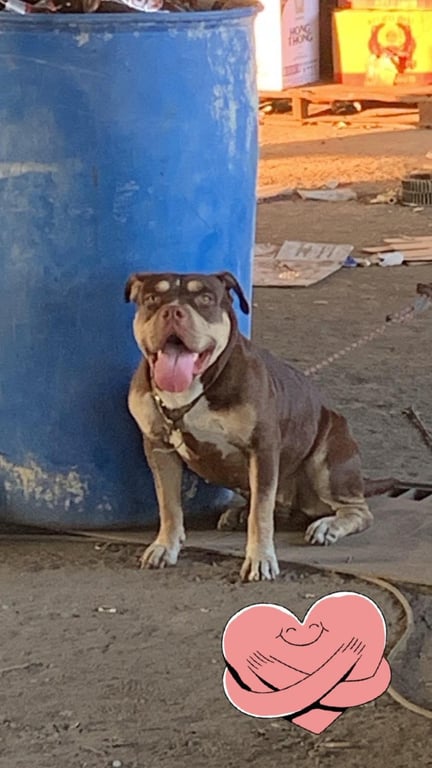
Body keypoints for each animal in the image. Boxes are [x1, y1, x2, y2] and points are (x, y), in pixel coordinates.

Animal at [125, 270, 374, 582]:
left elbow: (261, 514)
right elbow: (168, 504)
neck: (192, 390)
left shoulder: (263, 449)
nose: (172, 311)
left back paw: (328, 525)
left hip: (328, 458)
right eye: (151, 298)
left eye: (205, 298)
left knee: (357, 511)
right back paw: (239, 513)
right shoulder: (159, 448)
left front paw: (260, 559)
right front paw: (164, 546)